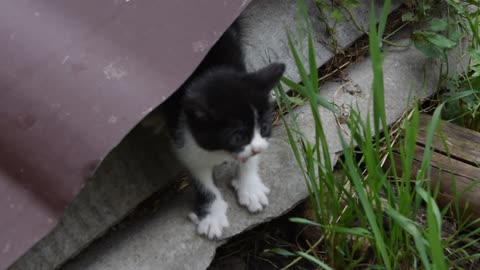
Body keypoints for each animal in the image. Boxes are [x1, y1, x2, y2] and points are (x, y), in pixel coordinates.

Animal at [163, 19, 284, 238]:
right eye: (237, 137)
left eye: (264, 127)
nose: (259, 149)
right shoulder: (181, 135)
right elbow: (201, 176)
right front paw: (212, 216)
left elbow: (247, 159)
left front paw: (250, 188)